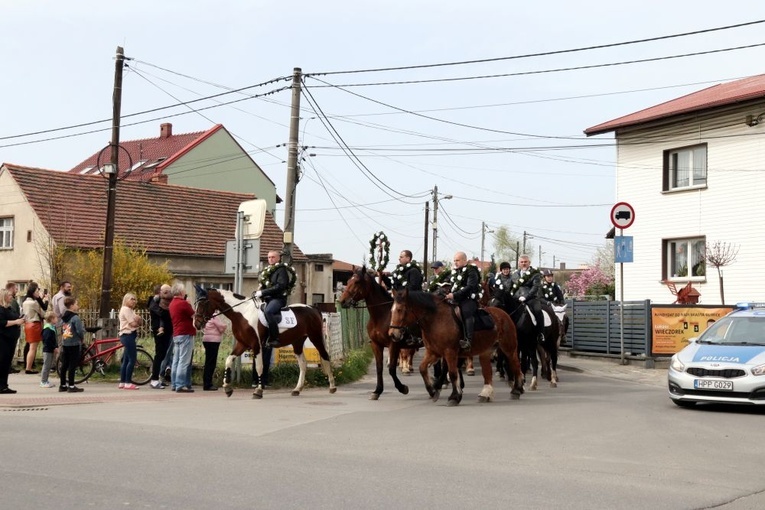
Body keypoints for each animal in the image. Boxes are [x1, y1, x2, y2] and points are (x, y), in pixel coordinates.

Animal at [192, 286, 336, 398]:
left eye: (203, 303)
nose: (196, 324)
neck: (242, 314)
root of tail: (313, 308)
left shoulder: (256, 346)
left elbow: (259, 367)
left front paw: (258, 391)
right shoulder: (242, 344)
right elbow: (228, 360)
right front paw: (227, 388)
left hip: (315, 337)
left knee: (325, 357)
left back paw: (332, 387)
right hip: (297, 342)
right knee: (303, 364)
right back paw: (297, 389)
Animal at [388, 290, 524, 406]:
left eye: (400, 310)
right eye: (391, 310)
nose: (392, 334)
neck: (436, 319)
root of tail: (503, 314)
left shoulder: (450, 352)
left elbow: (453, 373)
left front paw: (454, 397)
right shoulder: (433, 352)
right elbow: (422, 368)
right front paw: (433, 391)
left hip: (509, 348)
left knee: (515, 365)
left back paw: (517, 390)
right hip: (486, 351)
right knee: (487, 371)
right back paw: (486, 394)